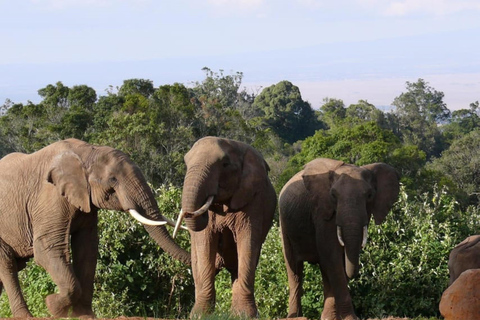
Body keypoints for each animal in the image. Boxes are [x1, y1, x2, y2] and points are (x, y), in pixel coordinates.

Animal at [0, 139, 190, 318]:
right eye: (113, 180)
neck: (87, 152)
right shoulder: (49, 198)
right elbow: (47, 249)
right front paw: (52, 305)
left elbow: (87, 250)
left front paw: (84, 315)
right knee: (7, 265)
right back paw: (24, 315)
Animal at [174, 136, 276, 318]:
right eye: (186, 163)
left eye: (225, 164)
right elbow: (205, 242)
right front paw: (200, 315)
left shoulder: (254, 201)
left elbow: (248, 241)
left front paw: (246, 316)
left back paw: (236, 313)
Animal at [280, 158, 400, 320]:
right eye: (333, 195)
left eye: (369, 195)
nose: (355, 274)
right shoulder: (322, 211)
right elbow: (332, 255)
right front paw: (350, 318)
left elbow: (339, 259)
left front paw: (333, 318)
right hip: (284, 225)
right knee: (294, 270)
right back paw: (295, 317)